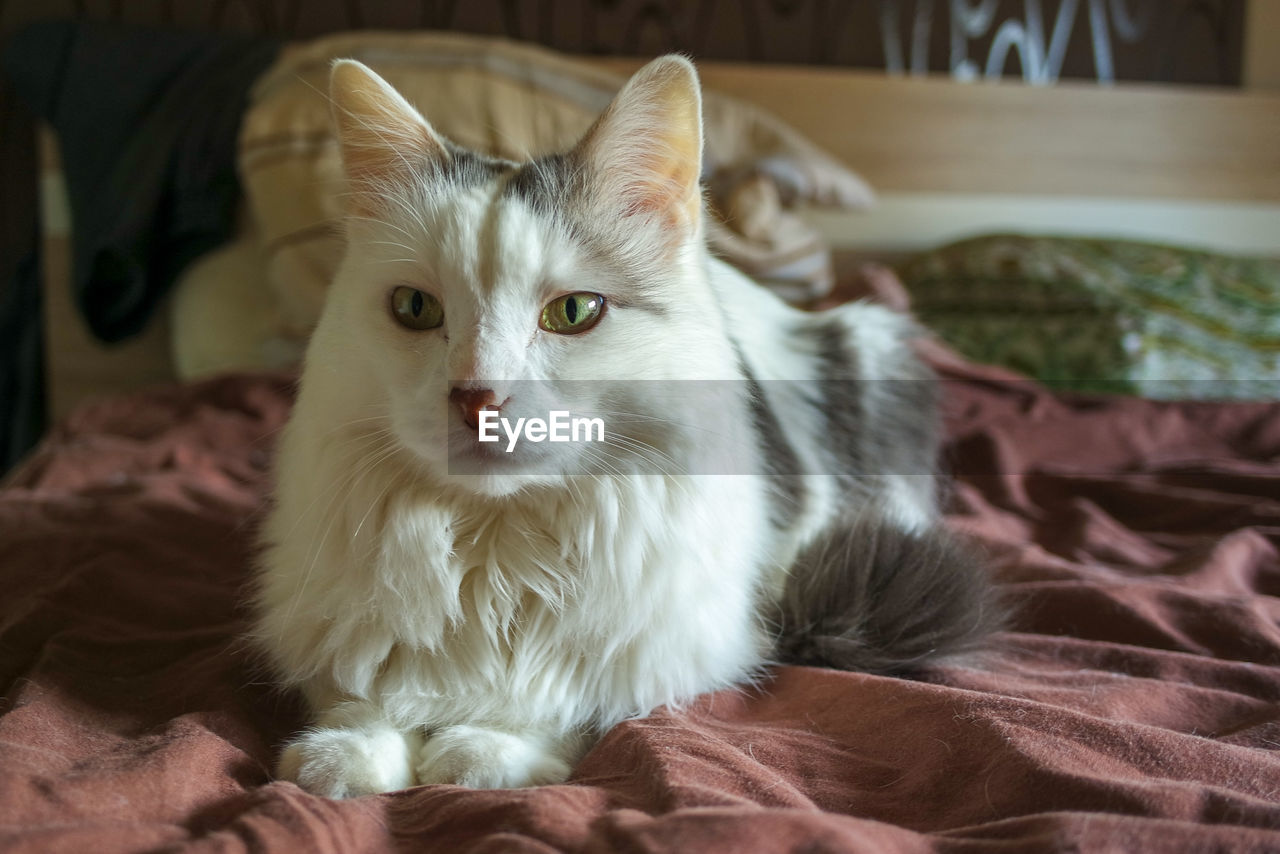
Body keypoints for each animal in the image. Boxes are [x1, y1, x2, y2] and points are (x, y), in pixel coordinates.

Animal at [257, 56, 998, 798]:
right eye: (415, 308)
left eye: (574, 312)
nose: (477, 398)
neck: (496, 550)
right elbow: (360, 692)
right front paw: (345, 757)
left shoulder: (669, 644)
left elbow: (567, 693)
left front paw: (486, 748)